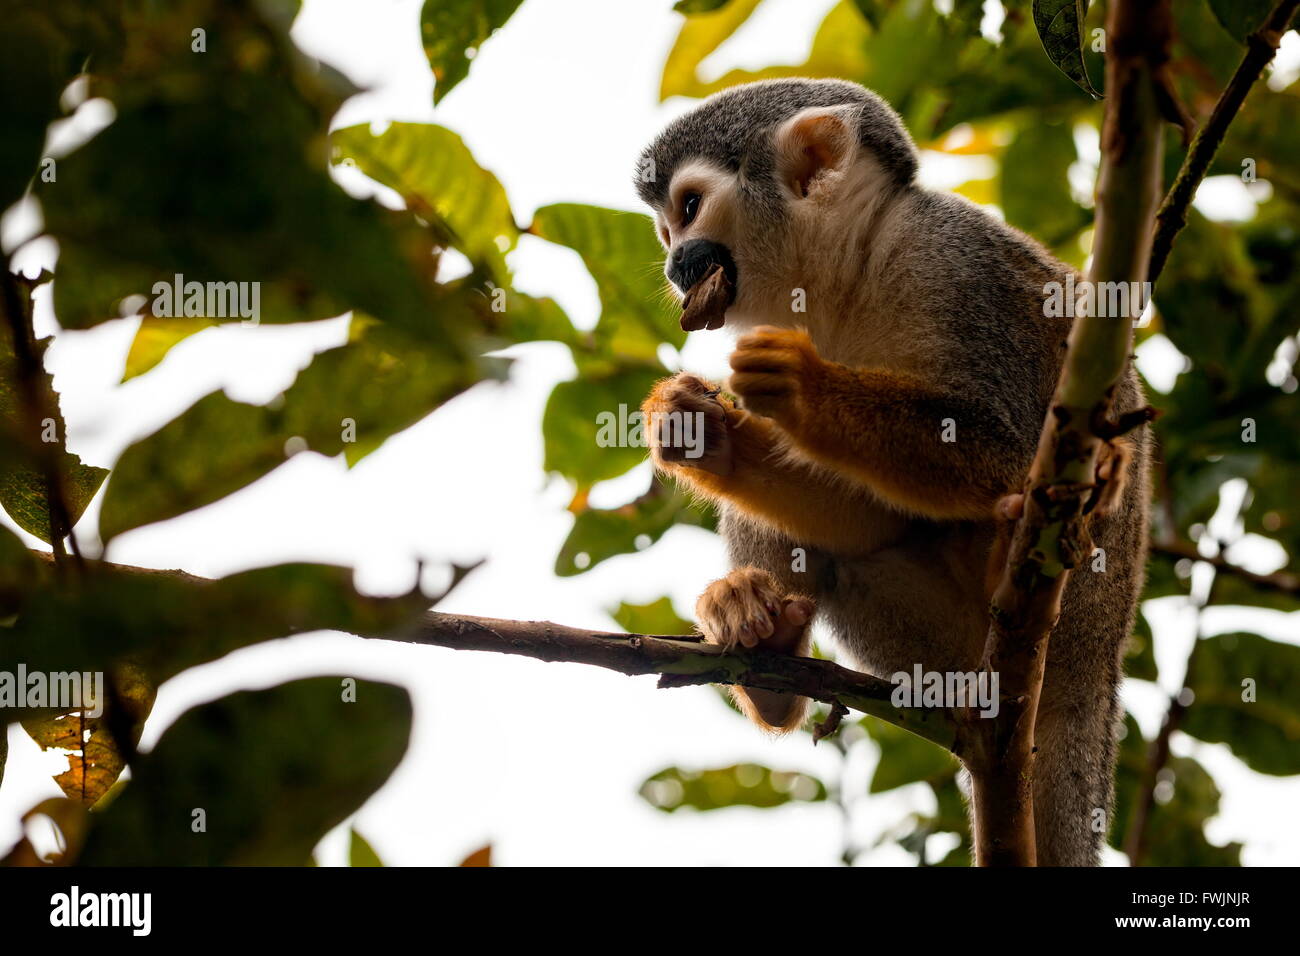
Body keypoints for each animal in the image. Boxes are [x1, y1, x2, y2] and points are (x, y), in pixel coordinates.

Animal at [634, 76, 1154, 868]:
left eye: (687, 209)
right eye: (664, 230)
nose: (672, 265)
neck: (852, 271)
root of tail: (1100, 671)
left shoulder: (952, 263)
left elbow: (1007, 449)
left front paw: (807, 388)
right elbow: (861, 516)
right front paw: (701, 432)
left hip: (1090, 603)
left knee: (1068, 479)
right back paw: (768, 653)